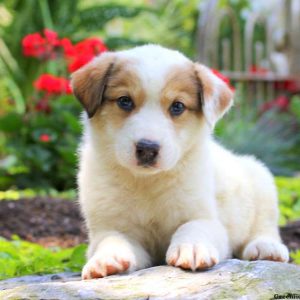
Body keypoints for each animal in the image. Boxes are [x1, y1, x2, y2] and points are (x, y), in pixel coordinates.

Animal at [71, 44, 290, 278]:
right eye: (124, 101)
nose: (147, 149)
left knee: (265, 225)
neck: (147, 182)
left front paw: (192, 248)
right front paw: (107, 258)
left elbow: (192, 227)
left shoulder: (206, 218)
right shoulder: (110, 226)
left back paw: (266, 247)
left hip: (261, 181)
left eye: (177, 106)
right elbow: (112, 239)